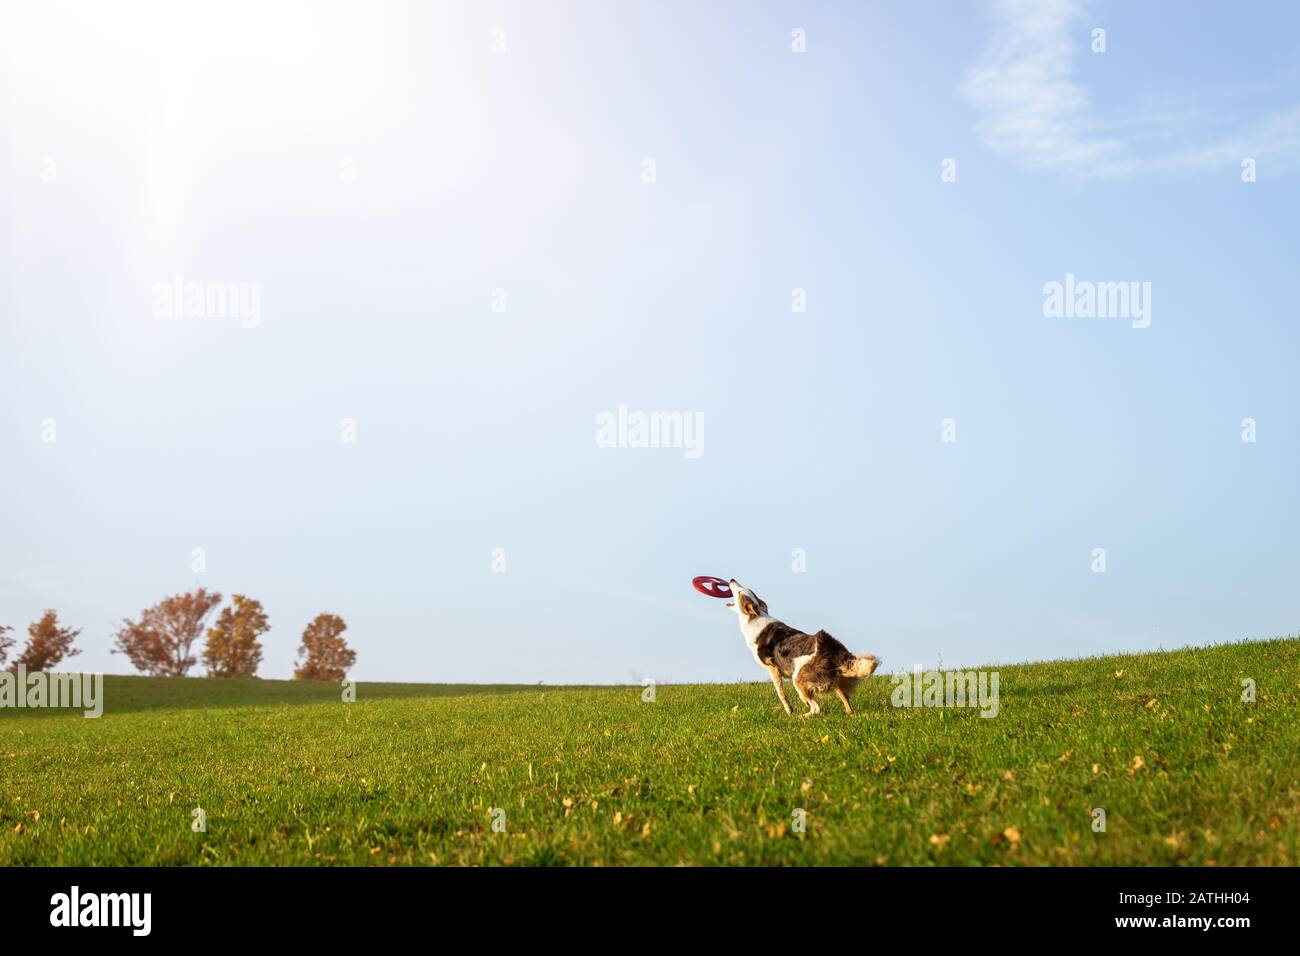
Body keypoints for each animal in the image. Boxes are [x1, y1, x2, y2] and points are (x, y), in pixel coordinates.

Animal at [728, 580, 878, 712]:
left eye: (740, 591)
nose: (732, 579)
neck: (754, 618)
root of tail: (829, 647)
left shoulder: (773, 669)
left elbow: (781, 694)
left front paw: (789, 711)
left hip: (798, 678)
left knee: (816, 708)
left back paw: (802, 716)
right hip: (834, 678)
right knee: (845, 698)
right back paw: (849, 713)